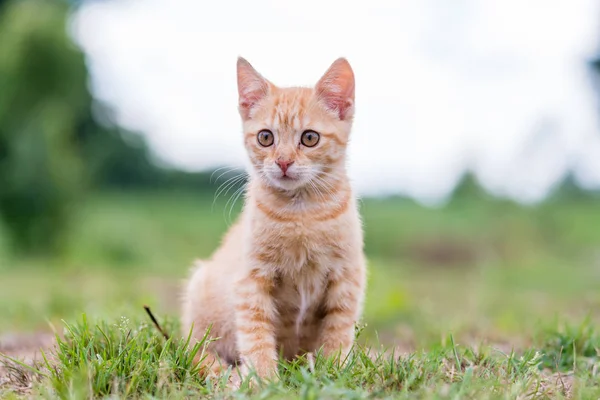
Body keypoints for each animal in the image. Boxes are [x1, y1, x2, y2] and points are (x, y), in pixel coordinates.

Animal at [180, 56, 366, 378]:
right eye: (265, 137)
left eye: (309, 138)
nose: (283, 161)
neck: (301, 212)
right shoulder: (250, 281)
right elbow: (256, 333)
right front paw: (263, 378)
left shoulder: (348, 275)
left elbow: (339, 329)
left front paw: (334, 371)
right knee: (196, 352)